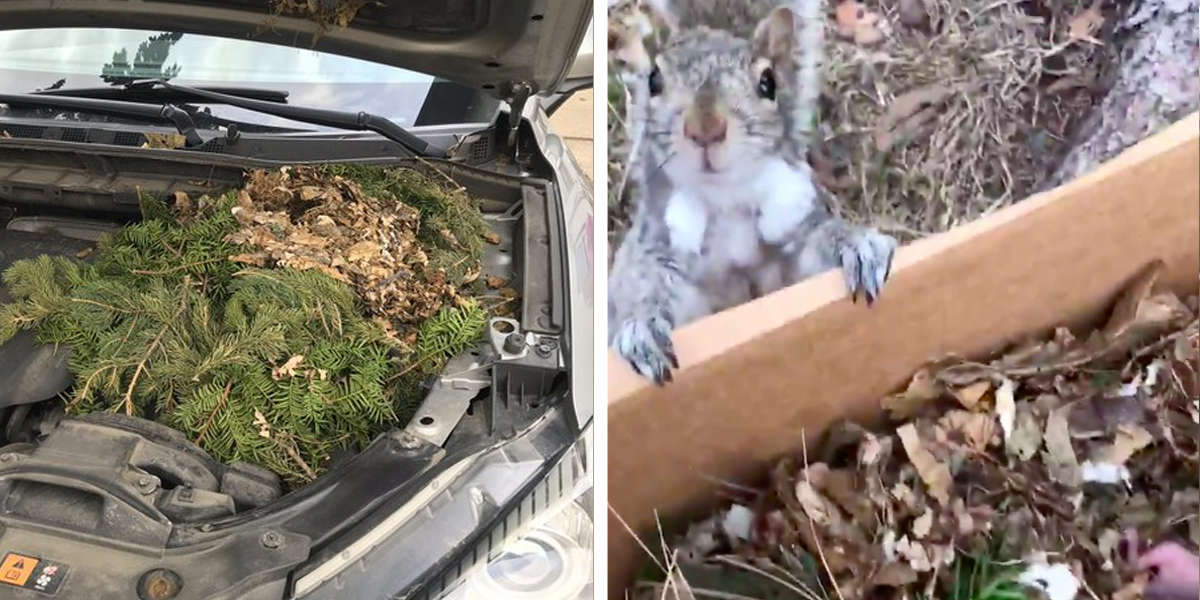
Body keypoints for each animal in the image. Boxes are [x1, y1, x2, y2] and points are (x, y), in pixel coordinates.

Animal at [604, 0, 897, 381]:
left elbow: (822, 242)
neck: (726, 199)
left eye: (767, 82)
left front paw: (860, 248)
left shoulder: (794, 225)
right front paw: (642, 330)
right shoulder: (661, 246)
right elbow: (647, 288)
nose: (705, 129)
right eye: (653, 80)